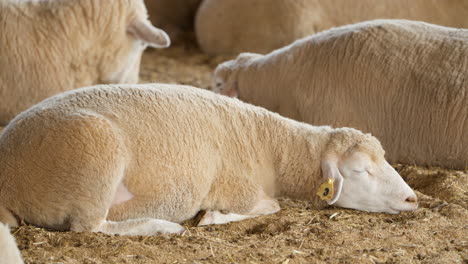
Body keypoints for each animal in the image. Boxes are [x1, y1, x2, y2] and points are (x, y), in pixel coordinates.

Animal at [0, 84, 418, 235]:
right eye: (360, 170)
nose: (412, 198)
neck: (274, 149)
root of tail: (8, 177)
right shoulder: (237, 187)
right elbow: (271, 206)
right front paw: (212, 217)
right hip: (97, 159)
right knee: (88, 227)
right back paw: (163, 227)